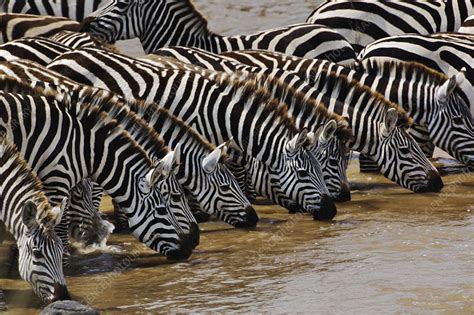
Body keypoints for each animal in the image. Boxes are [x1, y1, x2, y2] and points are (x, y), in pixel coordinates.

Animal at [0, 81, 194, 262]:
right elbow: (58, 226)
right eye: (164, 208)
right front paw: (63, 259)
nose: (190, 246)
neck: (85, 150)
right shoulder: (55, 182)